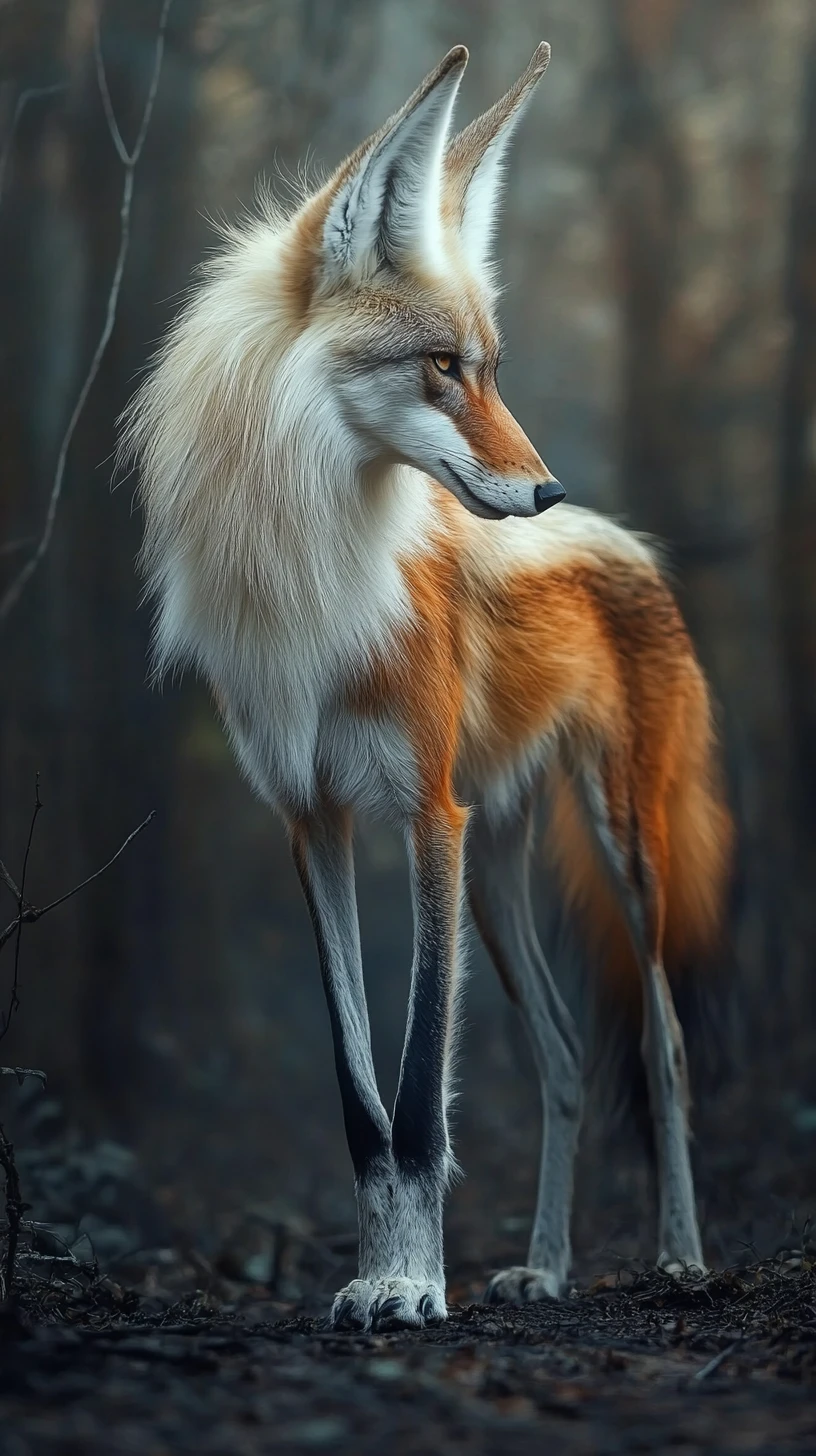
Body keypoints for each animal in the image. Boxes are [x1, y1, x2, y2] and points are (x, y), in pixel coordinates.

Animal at [122, 42, 732, 1331]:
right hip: (498, 871)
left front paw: (407, 1284)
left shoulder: (426, 817)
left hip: (624, 849)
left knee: (661, 1052)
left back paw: (680, 1257)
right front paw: (384, 1271)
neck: (311, 587)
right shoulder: (315, 820)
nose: (545, 492)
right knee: (564, 1056)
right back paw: (546, 1268)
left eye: (489, 368)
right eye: (441, 368)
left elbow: (414, 1101)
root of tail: (632, 544)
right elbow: (363, 1103)